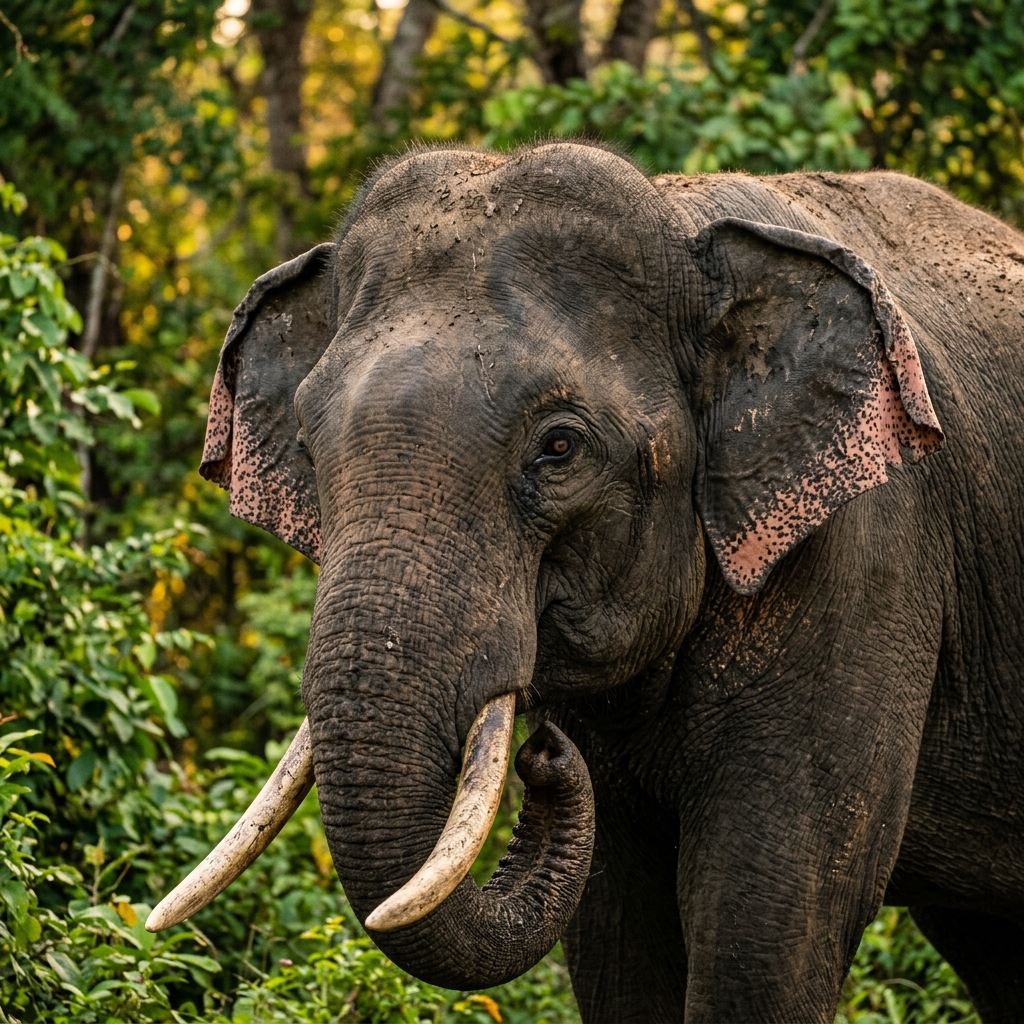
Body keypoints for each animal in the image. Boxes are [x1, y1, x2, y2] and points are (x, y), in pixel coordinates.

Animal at [147, 142, 1024, 1023]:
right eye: (306, 441)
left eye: (560, 447)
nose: (543, 751)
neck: (683, 220)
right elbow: (616, 924)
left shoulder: (868, 554)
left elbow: (770, 916)